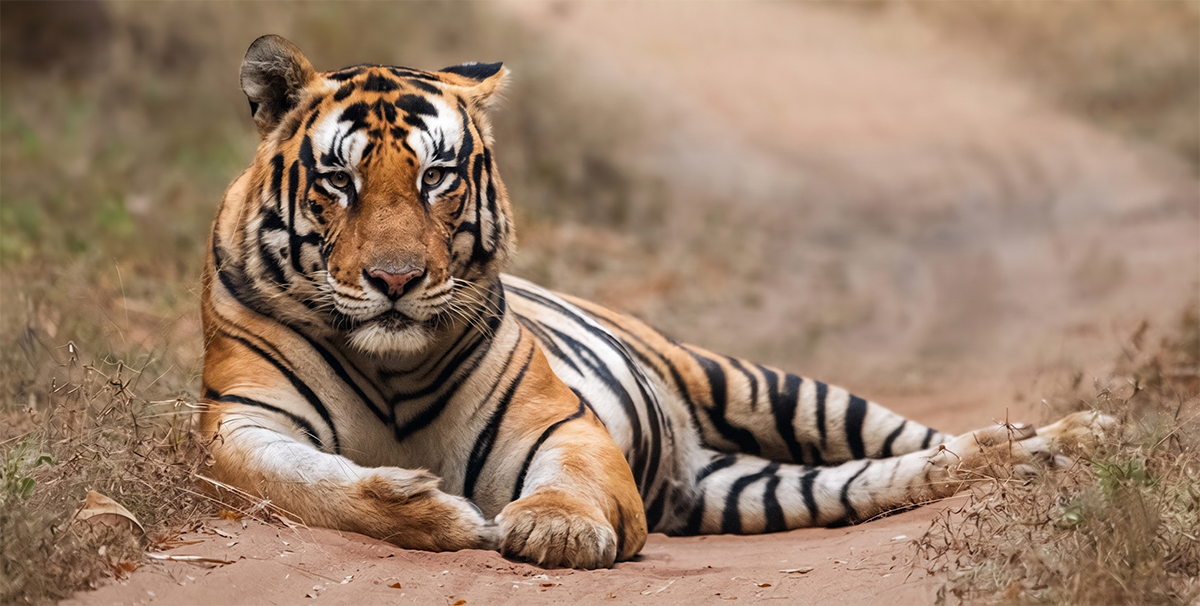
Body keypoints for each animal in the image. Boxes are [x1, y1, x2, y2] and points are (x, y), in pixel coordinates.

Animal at [200, 35, 1109, 569]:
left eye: (435, 177)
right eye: (338, 182)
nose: (395, 281)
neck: (390, 368)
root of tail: (689, 464)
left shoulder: (562, 423)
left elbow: (569, 476)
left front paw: (555, 528)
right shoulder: (238, 427)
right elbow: (308, 482)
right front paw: (430, 511)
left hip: (760, 383)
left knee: (913, 434)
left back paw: (1075, 434)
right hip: (763, 486)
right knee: (899, 472)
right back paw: (1021, 452)